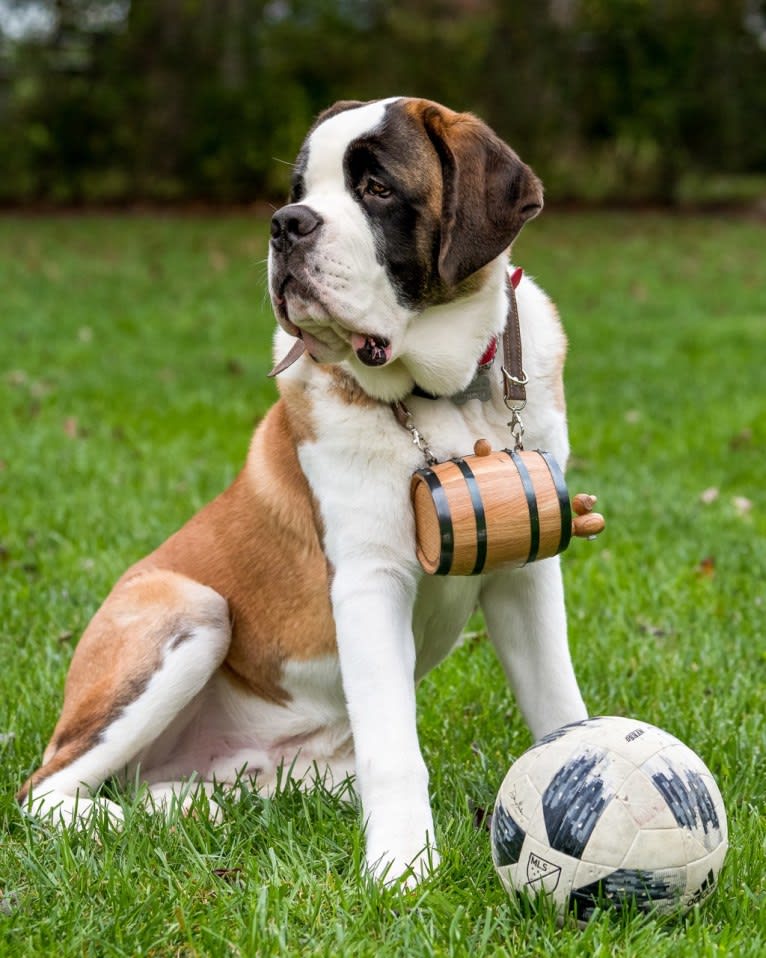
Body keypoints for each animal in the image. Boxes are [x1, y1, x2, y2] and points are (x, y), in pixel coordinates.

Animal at [21, 95, 592, 884]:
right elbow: (395, 751)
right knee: (44, 789)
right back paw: (115, 820)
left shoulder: (525, 562)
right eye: (298, 192)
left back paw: (186, 805)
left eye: (377, 188)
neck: (448, 397)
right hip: (189, 606)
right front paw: (403, 869)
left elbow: (559, 702)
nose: (286, 224)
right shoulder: (370, 580)